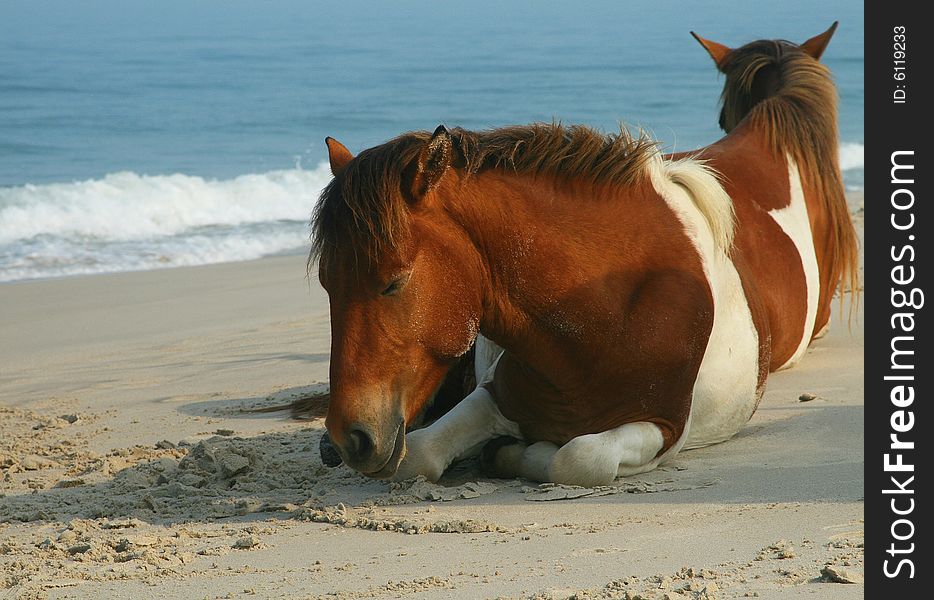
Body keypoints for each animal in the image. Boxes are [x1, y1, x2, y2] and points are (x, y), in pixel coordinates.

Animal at [310, 22, 860, 488]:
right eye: (327, 285)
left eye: (393, 281)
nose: (351, 438)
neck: (603, 314)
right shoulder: (495, 396)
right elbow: (423, 452)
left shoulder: (661, 426)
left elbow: (576, 457)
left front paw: (517, 452)